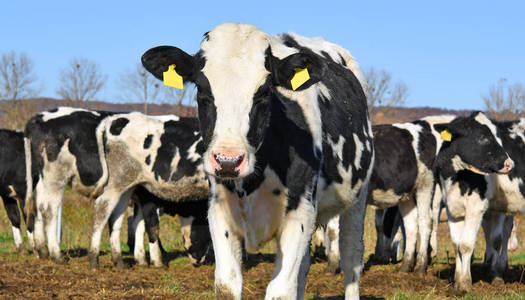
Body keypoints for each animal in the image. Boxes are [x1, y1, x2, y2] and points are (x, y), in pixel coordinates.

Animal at [141, 22, 374, 298]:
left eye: (264, 92)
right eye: (201, 89)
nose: (228, 161)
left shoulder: (300, 211)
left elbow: (280, 289)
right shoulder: (219, 209)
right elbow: (227, 284)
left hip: (356, 199)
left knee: (351, 257)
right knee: (303, 268)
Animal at [432, 111, 512, 294]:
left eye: (497, 135)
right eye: (483, 137)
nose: (509, 163)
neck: (458, 178)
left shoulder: (477, 207)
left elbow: (468, 244)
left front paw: (466, 284)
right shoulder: (452, 208)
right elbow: (457, 244)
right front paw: (457, 280)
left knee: (503, 234)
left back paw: (498, 270)